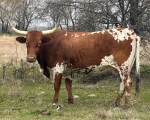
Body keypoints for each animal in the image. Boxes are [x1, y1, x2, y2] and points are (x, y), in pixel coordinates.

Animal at [9, 21, 141, 108]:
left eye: (40, 43)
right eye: (26, 43)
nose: (31, 58)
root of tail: (129, 31)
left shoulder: (58, 68)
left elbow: (57, 85)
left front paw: (54, 102)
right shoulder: (67, 70)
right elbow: (68, 85)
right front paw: (70, 101)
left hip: (123, 67)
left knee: (128, 83)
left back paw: (126, 106)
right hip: (124, 68)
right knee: (122, 84)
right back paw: (116, 103)